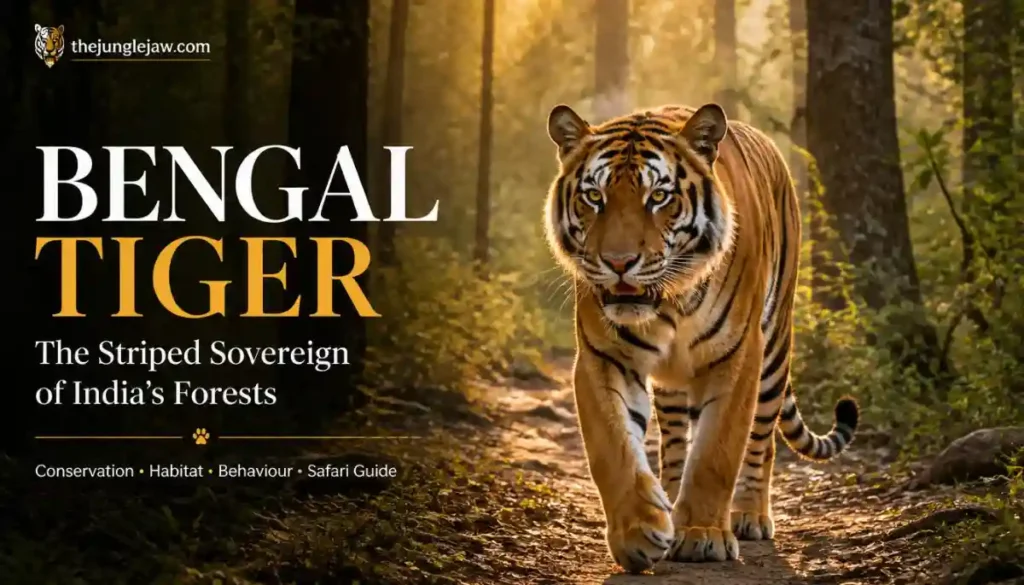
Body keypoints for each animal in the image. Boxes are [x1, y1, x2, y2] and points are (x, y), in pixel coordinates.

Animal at [544, 103, 858, 573]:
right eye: (594, 197)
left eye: (659, 197)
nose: (618, 263)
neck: (669, 303)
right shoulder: (604, 357)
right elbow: (613, 448)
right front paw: (639, 532)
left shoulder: (738, 355)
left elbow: (717, 451)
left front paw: (702, 536)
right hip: (674, 385)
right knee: (675, 442)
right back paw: (671, 500)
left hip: (774, 351)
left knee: (762, 441)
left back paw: (749, 515)